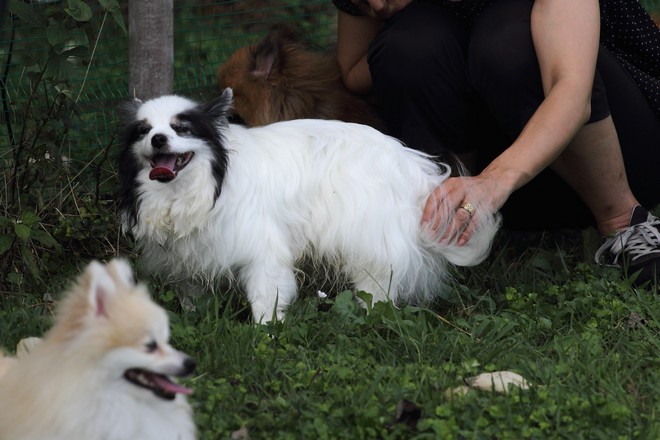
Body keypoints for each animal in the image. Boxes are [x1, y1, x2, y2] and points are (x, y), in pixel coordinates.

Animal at [117, 89, 499, 322]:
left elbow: (266, 296)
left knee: (379, 286)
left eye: (181, 128)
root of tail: (413, 166)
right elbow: (190, 295)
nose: (158, 139)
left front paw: (264, 332)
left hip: (369, 241)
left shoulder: (263, 252)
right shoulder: (189, 257)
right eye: (144, 131)